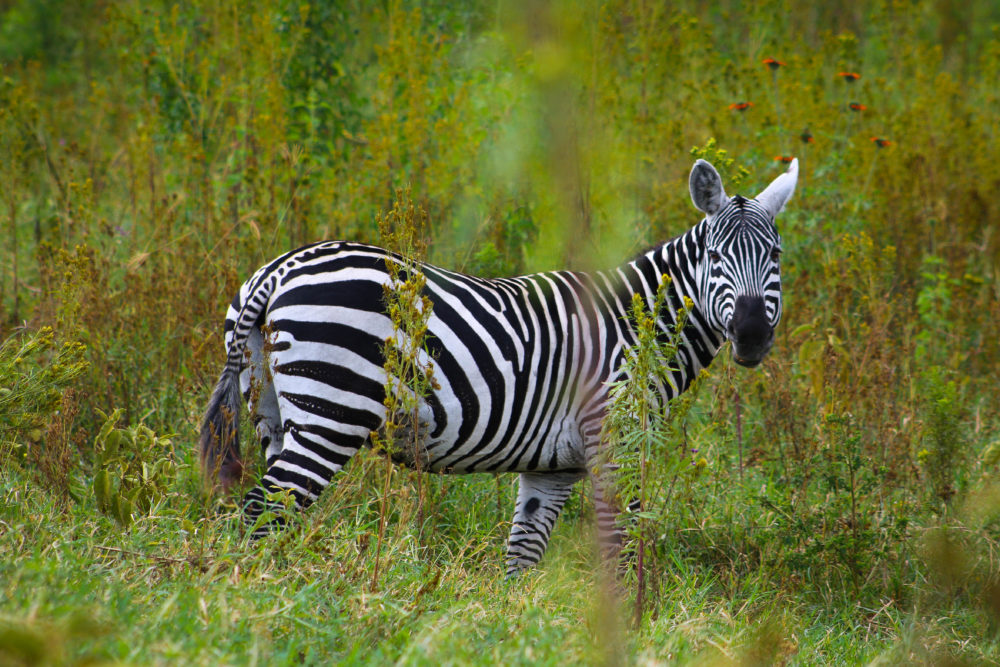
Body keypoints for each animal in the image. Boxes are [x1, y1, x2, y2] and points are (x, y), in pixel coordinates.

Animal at [200, 158, 798, 575]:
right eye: (715, 258)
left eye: (776, 257)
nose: (751, 335)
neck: (636, 327)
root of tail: (278, 270)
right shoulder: (613, 436)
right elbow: (622, 543)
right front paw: (633, 620)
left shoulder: (554, 466)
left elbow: (523, 555)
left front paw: (518, 627)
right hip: (331, 412)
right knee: (263, 511)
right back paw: (258, 599)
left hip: (273, 413)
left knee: (272, 511)